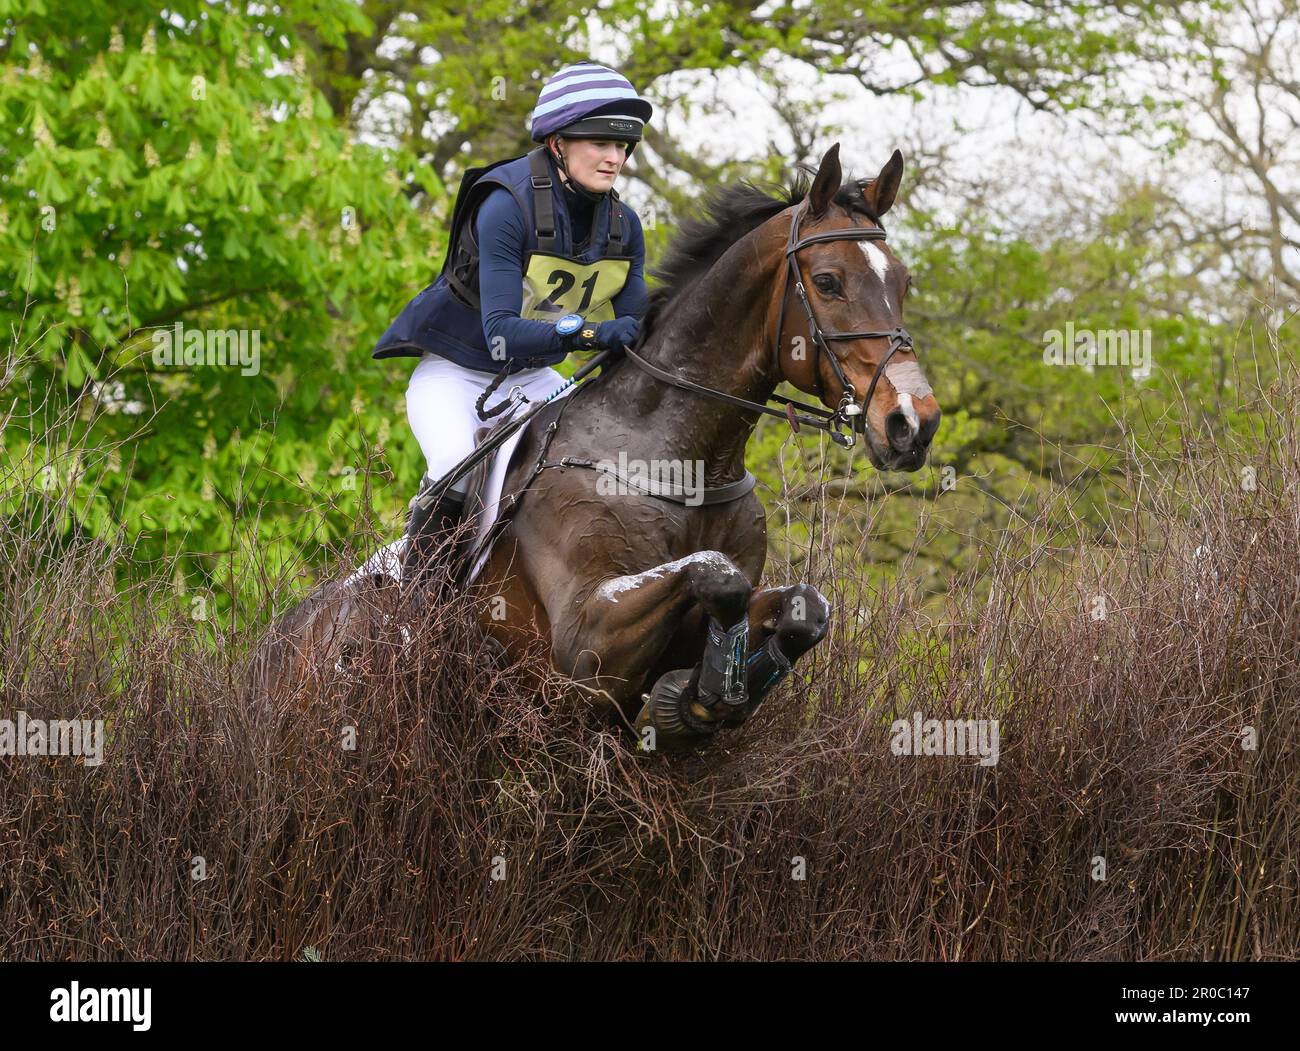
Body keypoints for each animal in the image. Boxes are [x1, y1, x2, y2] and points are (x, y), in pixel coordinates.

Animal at [258, 143, 941, 749]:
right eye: (827, 282)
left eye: (905, 282)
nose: (913, 423)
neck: (681, 456)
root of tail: (279, 640)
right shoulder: (584, 643)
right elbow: (715, 576)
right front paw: (700, 697)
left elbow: (800, 606)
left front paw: (704, 698)